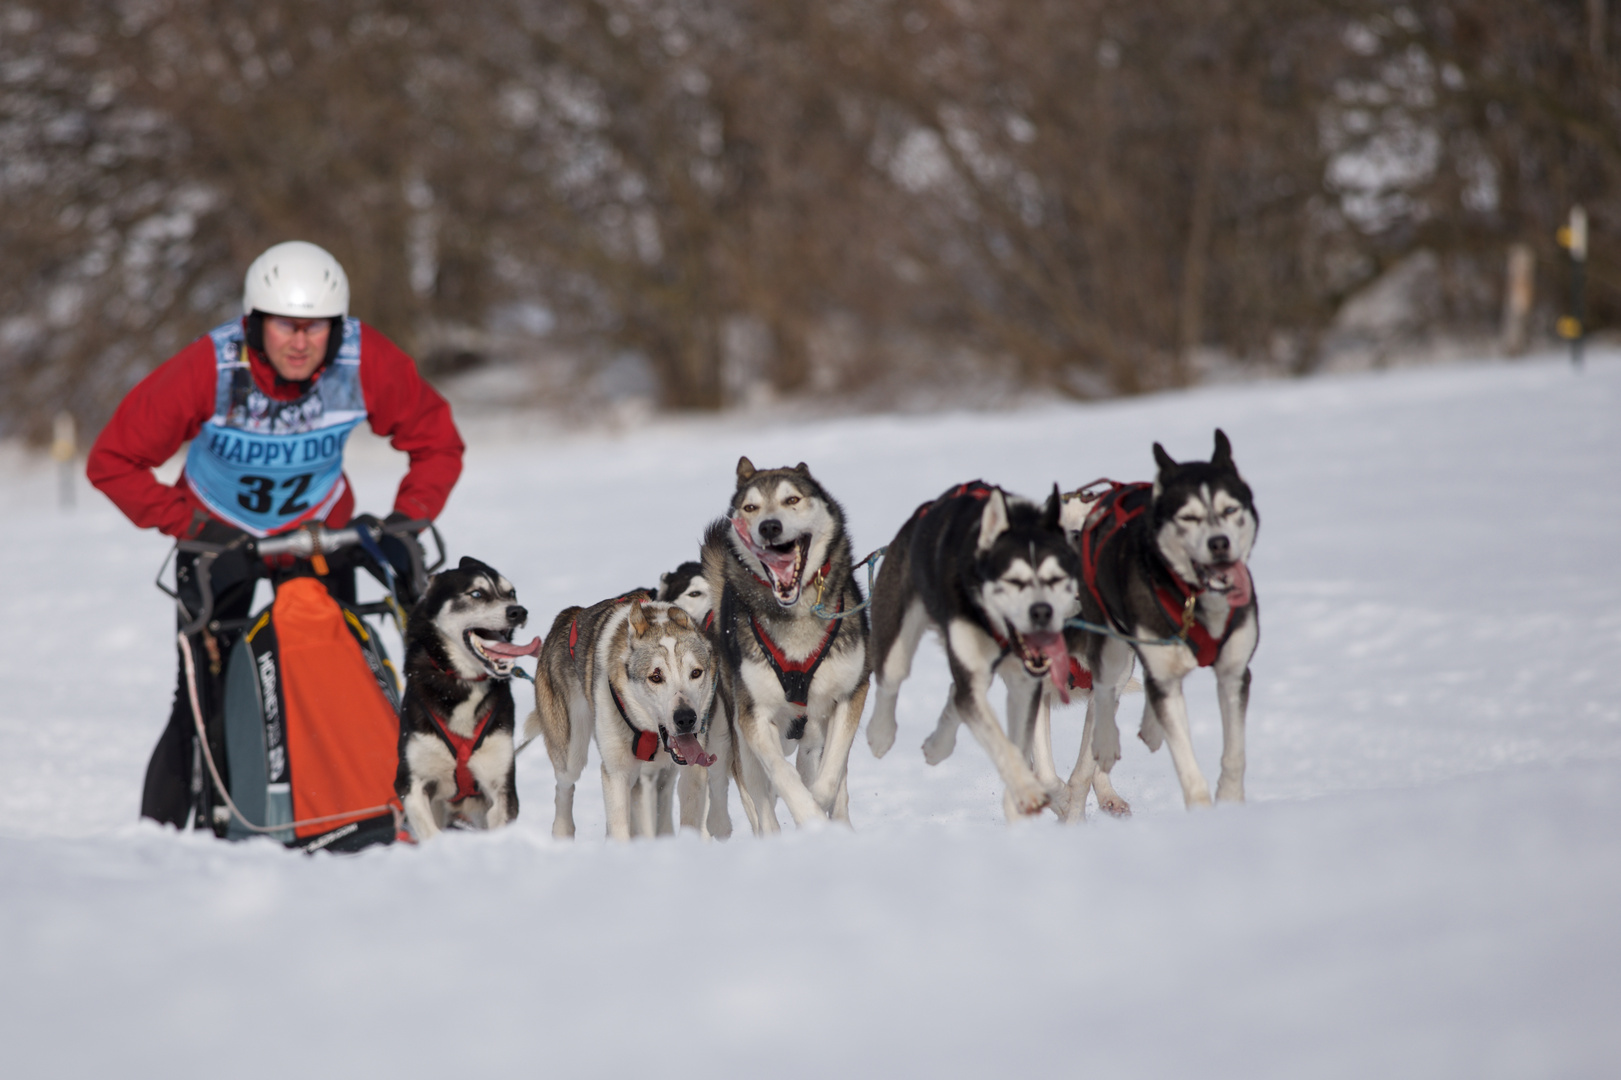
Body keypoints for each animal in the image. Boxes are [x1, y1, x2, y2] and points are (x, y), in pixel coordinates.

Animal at [395, 554, 534, 843]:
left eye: (511, 593)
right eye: (477, 593)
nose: (518, 611)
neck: (462, 683)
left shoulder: (501, 786)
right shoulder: (410, 782)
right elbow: (429, 831)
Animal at [528, 590, 719, 843]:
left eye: (696, 673)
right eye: (655, 676)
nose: (686, 718)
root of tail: (569, 614)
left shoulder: (692, 771)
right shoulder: (616, 772)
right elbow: (620, 825)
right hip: (571, 754)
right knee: (564, 789)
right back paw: (562, 834)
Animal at [703, 454, 868, 823]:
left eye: (792, 499)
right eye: (750, 507)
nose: (769, 527)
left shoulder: (849, 695)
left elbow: (831, 773)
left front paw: (820, 803)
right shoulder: (754, 716)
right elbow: (781, 774)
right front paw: (809, 816)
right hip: (740, 738)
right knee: (761, 800)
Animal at [868, 480, 1082, 817]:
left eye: (1056, 578)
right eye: (1014, 580)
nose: (1042, 612)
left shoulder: (1025, 685)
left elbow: (1015, 743)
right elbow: (1000, 741)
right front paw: (1027, 791)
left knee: (955, 695)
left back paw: (938, 745)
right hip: (897, 635)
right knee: (891, 681)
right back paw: (880, 734)